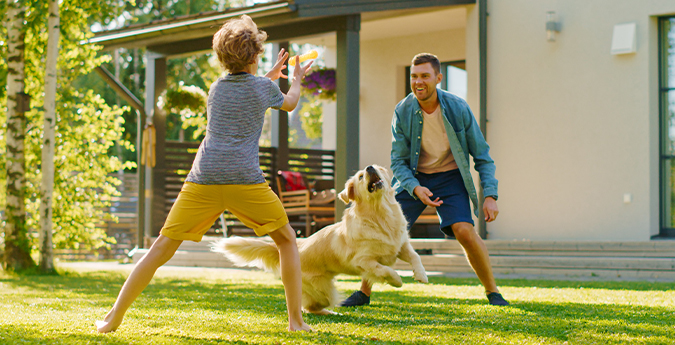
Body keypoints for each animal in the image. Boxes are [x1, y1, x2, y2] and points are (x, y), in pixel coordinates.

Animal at [211, 165, 428, 314]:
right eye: (360, 177)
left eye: (375, 167)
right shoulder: (362, 261)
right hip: (323, 290)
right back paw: (331, 312)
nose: (369, 168)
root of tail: (298, 244)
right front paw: (397, 280)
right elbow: (384, 270)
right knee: (309, 307)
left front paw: (421, 275)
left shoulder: (401, 245)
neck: (379, 215)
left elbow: (416, 256)